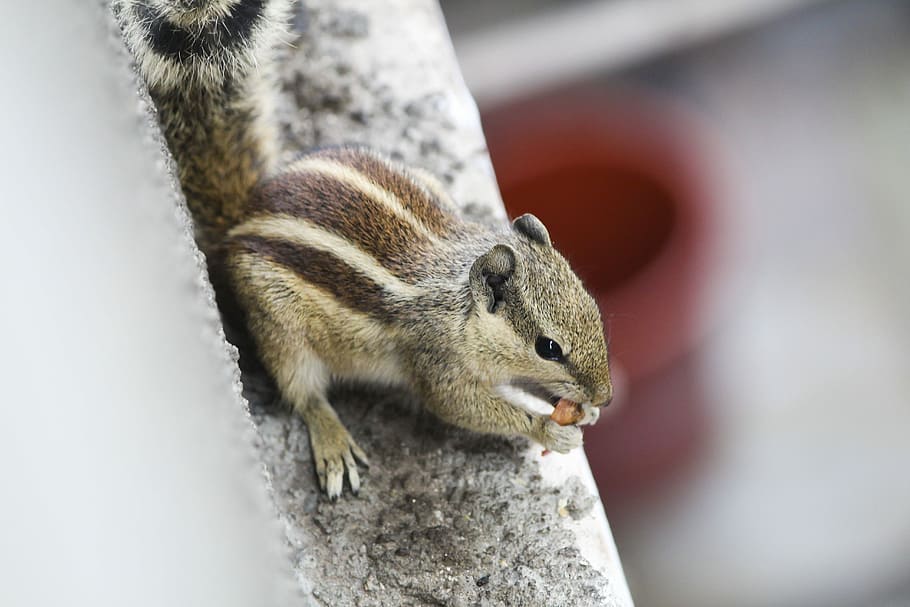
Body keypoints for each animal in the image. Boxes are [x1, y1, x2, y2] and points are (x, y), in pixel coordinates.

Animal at [114, 0, 613, 498]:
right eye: (548, 347)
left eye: (593, 309)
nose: (606, 396)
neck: (461, 305)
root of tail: (242, 218)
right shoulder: (437, 363)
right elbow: (460, 405)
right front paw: (548, 428)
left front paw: (582, 410)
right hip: (280, 326)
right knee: (303, 393)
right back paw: (332, 441)